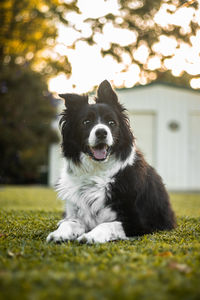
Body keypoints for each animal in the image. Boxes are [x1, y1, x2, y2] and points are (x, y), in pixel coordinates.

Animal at [46, 79, 175, 244]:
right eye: (86, 122)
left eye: (111, 122)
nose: (101, 132)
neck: (97, 172)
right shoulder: (75, 214)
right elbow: (68, 222)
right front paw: (59, 234)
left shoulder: (140, 223)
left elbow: (107, 224)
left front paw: (90, 236)